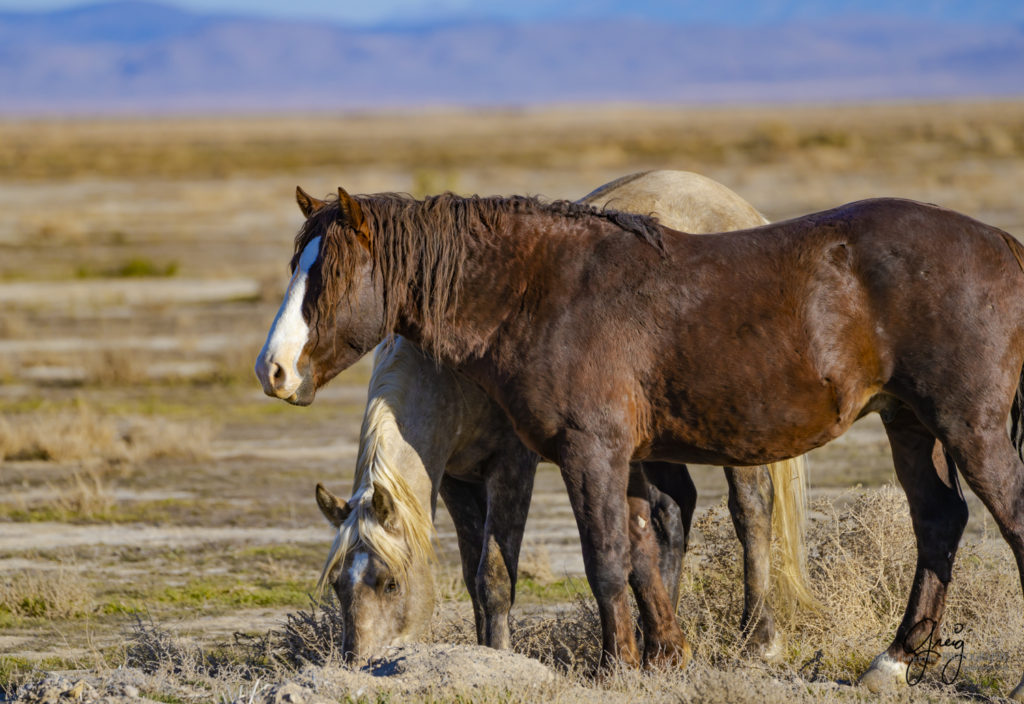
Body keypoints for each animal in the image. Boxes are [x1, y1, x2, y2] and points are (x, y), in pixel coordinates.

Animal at [258, 188, 1024, 699]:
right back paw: (893, 661)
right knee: (939, 522)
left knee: (1005, 521)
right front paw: (664, 656)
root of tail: (1003, 245)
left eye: (325, 275)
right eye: (295, 264)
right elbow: (641, 555)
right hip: (910, 424)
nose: (274, 369)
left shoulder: (584, 452)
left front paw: (617, 665)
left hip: (970, 427)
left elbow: (604, 562)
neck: (542, 292)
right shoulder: (620, 458)